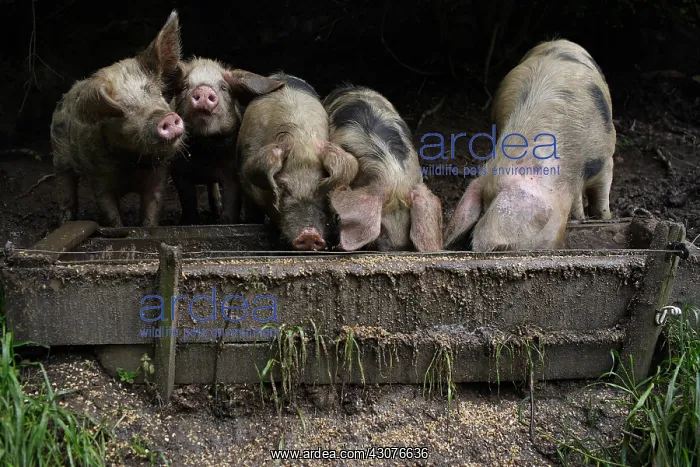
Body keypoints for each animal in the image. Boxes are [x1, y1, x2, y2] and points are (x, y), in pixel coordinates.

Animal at [50, 11, 185, 228]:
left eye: (156, 93)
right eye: (119, 110)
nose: (165, 116)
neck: (132, 161)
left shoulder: (160, 172)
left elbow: (152, 208)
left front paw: (147, 227)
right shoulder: (97, 176)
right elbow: (109, 212)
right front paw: (118, 228)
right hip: (59, 155)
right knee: (65, 187)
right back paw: (65, 222)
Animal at [168, 58, 284, 225]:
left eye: (224, 87)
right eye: (185, 86)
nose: (203, 90)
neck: (204, 149)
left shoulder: (232, 167)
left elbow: (232, 198)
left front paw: (225, 222)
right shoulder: (177, 170)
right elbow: (187, 199)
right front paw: (188, 222)